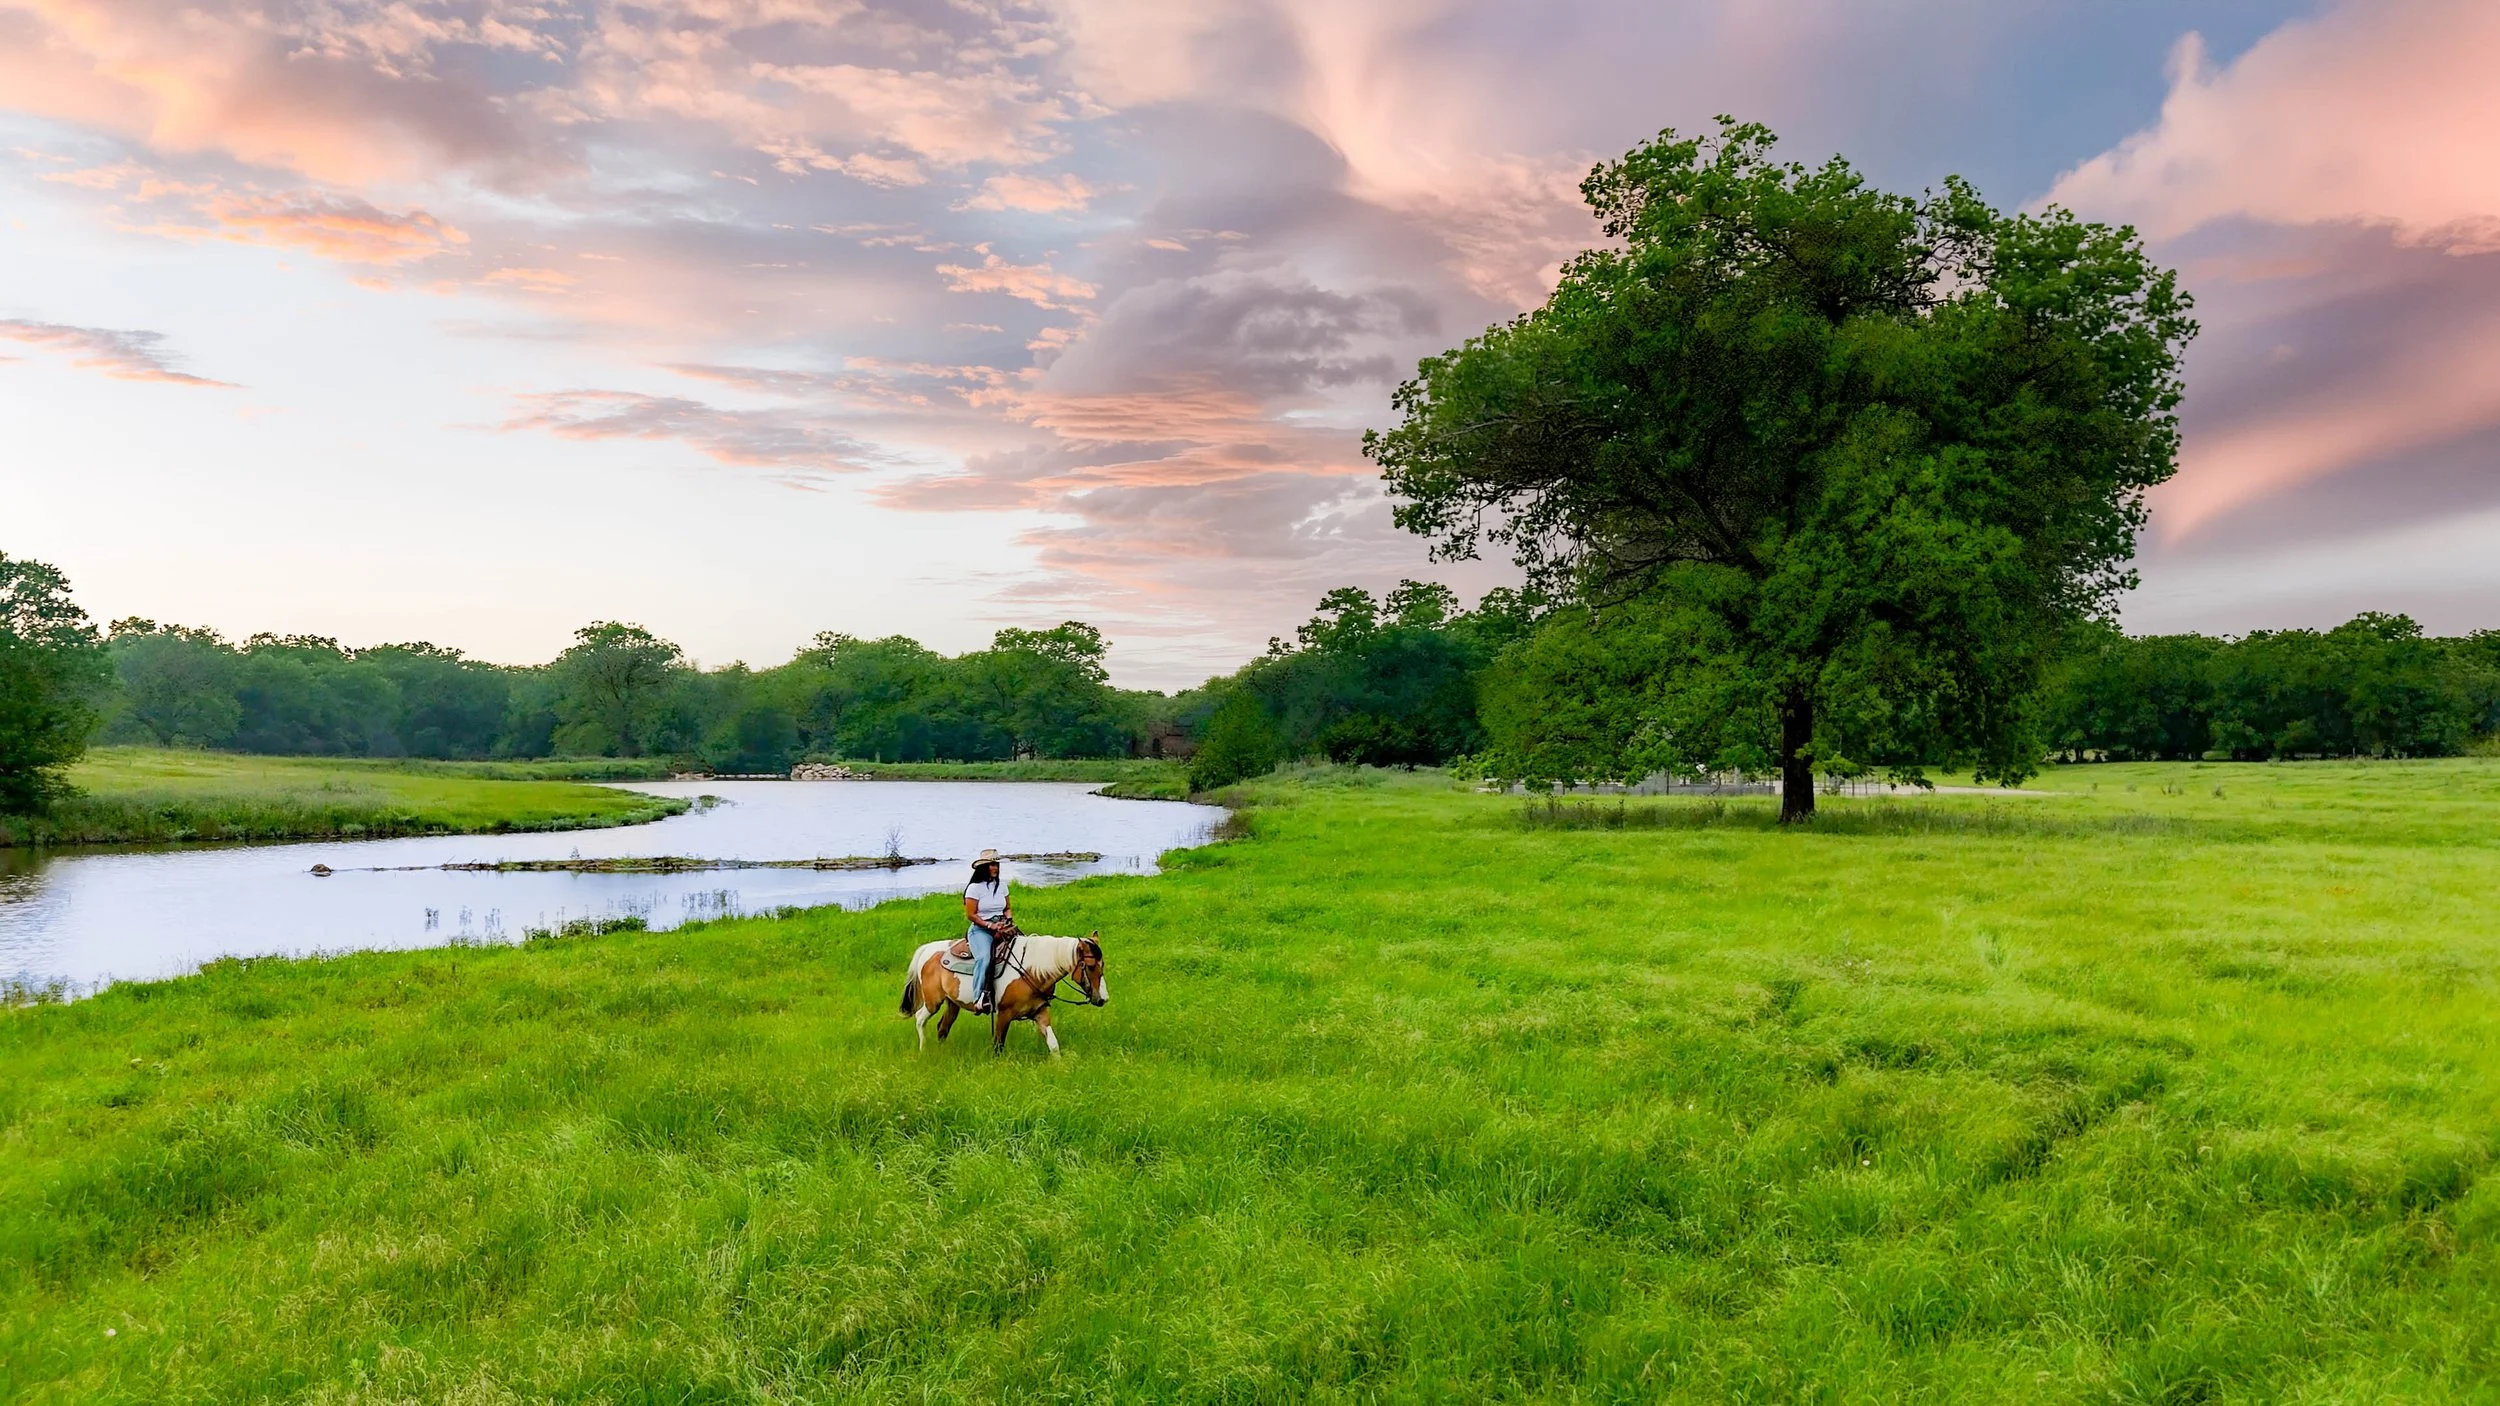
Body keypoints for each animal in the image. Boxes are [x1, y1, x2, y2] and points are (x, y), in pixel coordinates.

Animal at [898, 930, 1108, 1055]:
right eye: (1090, 966)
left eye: (1103, 964)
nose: (1103, 999)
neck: (1030, 970)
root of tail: (927, 949)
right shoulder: (1003, 1014)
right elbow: (998, 1045)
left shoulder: (1040, 1012)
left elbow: (1053, 1045)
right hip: (933, 1001)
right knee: (920, 1018)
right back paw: (923, 1049)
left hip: (953, 1003)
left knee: (943, 1027)